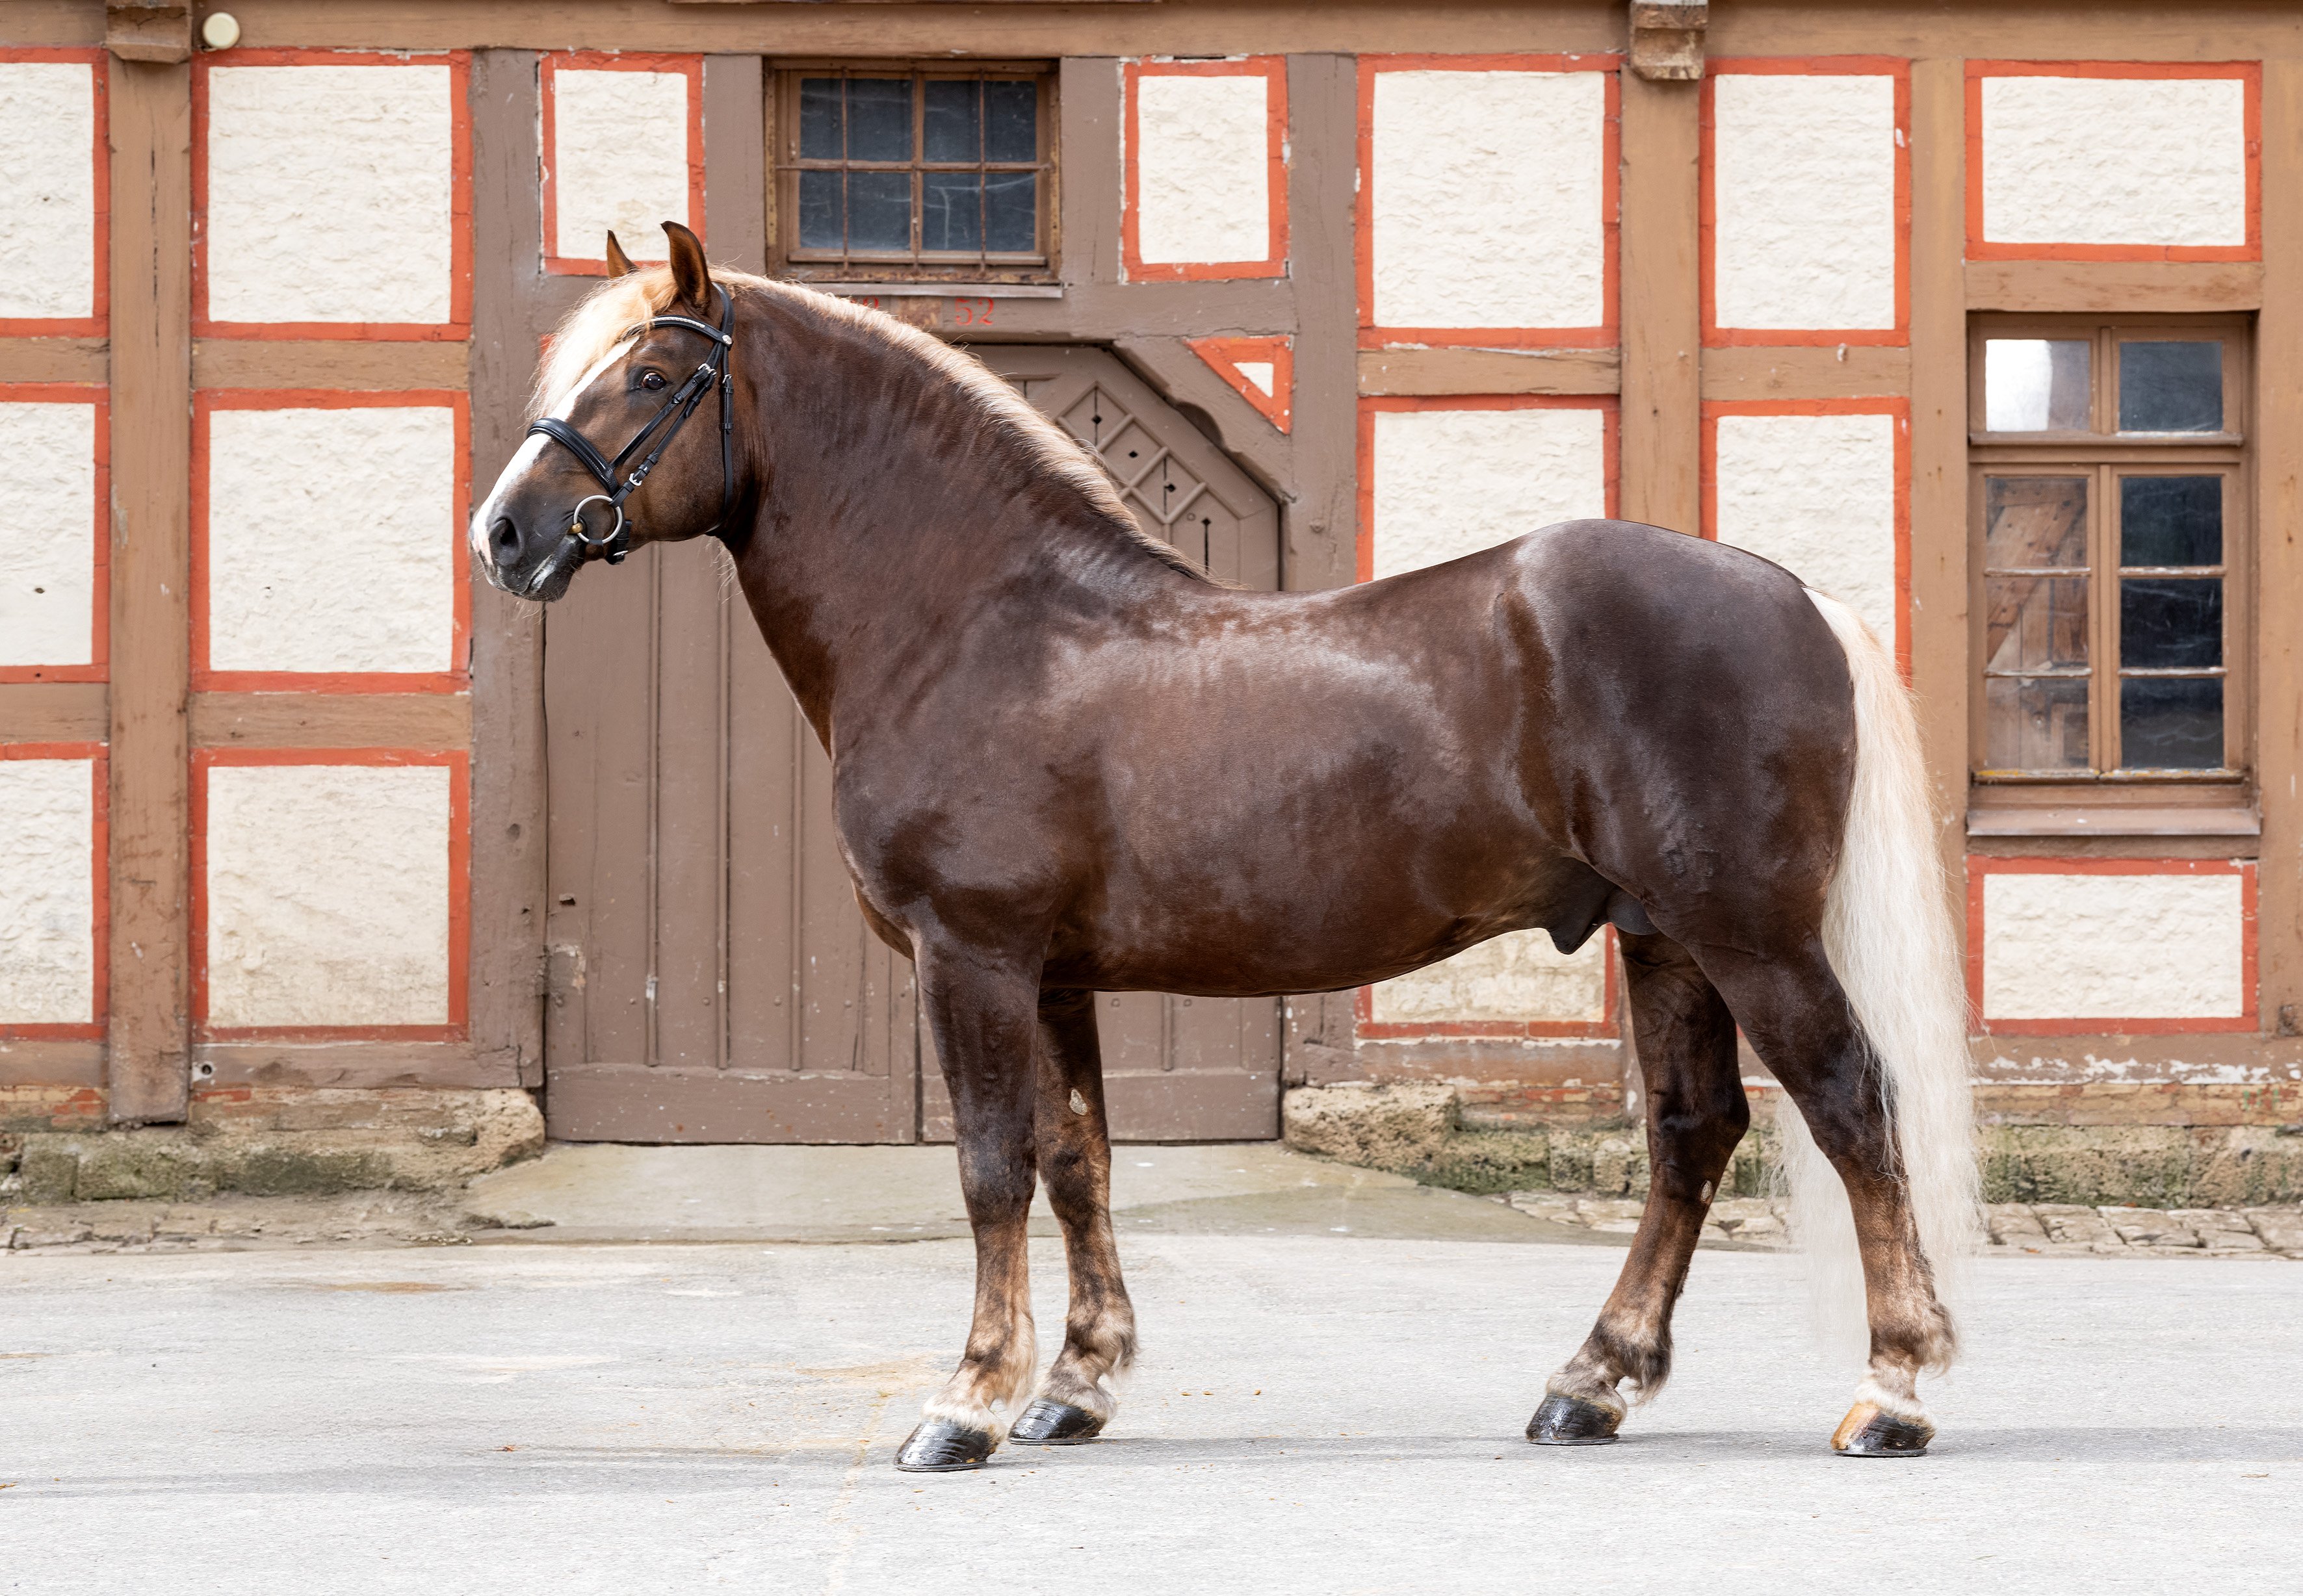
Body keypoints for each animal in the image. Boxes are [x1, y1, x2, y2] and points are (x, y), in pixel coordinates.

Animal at [472, 224, 1980, 1464]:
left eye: (652, 373)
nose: (506, 532)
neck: (979, 623)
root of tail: (1795, 594)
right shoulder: (1054, 978)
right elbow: (1074, 1162)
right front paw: (1074, 1387)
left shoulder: (972, 957)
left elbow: (987, 1166)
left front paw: (966, 1404)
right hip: (1663, 939)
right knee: (1690, 1133)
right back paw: (1590, 1384)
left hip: (1749, 936)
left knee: (1849, 1104)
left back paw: (1893, 1391)